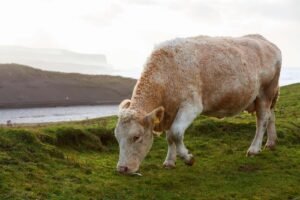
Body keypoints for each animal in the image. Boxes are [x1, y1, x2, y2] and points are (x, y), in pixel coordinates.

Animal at [114, 34, 282, 173]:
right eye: (117, 137)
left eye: (136, 137)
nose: (122, 169)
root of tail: (266, 41)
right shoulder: (170, 110)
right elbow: (169, 137)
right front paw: (169, 161)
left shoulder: (191, 105)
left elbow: (175, 133)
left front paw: (188, 158)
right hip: (268, 96)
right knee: (271, 115)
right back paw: (271, 143)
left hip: (265, 92)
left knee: (262, 120)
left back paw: (254, 149)